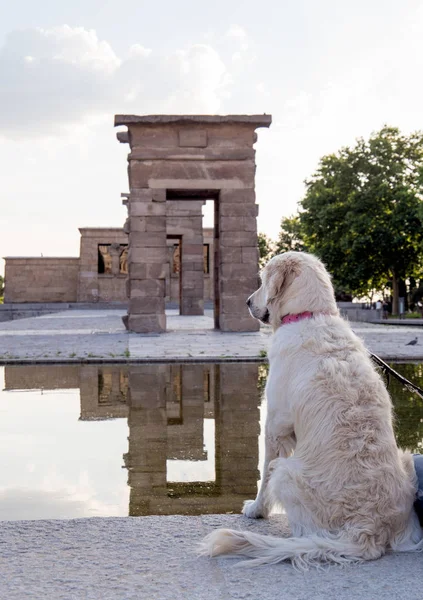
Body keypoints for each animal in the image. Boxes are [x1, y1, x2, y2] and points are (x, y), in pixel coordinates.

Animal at [201, 252, 423, 568]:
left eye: (262, 279)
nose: (246, 301)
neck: (310, 314)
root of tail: (369, 531)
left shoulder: (275, 426)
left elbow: (263, 476)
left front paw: (256, 510)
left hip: (286, 473)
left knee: (306, 531)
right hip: (407, 462)